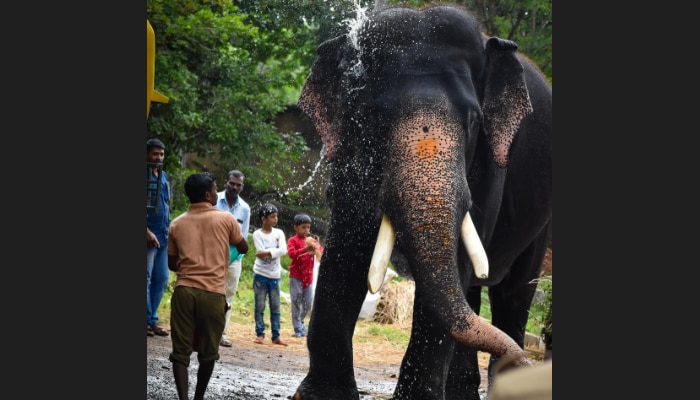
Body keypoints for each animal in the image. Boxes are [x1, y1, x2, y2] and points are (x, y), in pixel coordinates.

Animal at [292, 3, 548, 400]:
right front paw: (320, 396)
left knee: (513, 293)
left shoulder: (491, 165)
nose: (524, 361)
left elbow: (459, 255)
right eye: (375, 118)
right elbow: (347, 248)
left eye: (474, 123)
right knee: (473, 292)